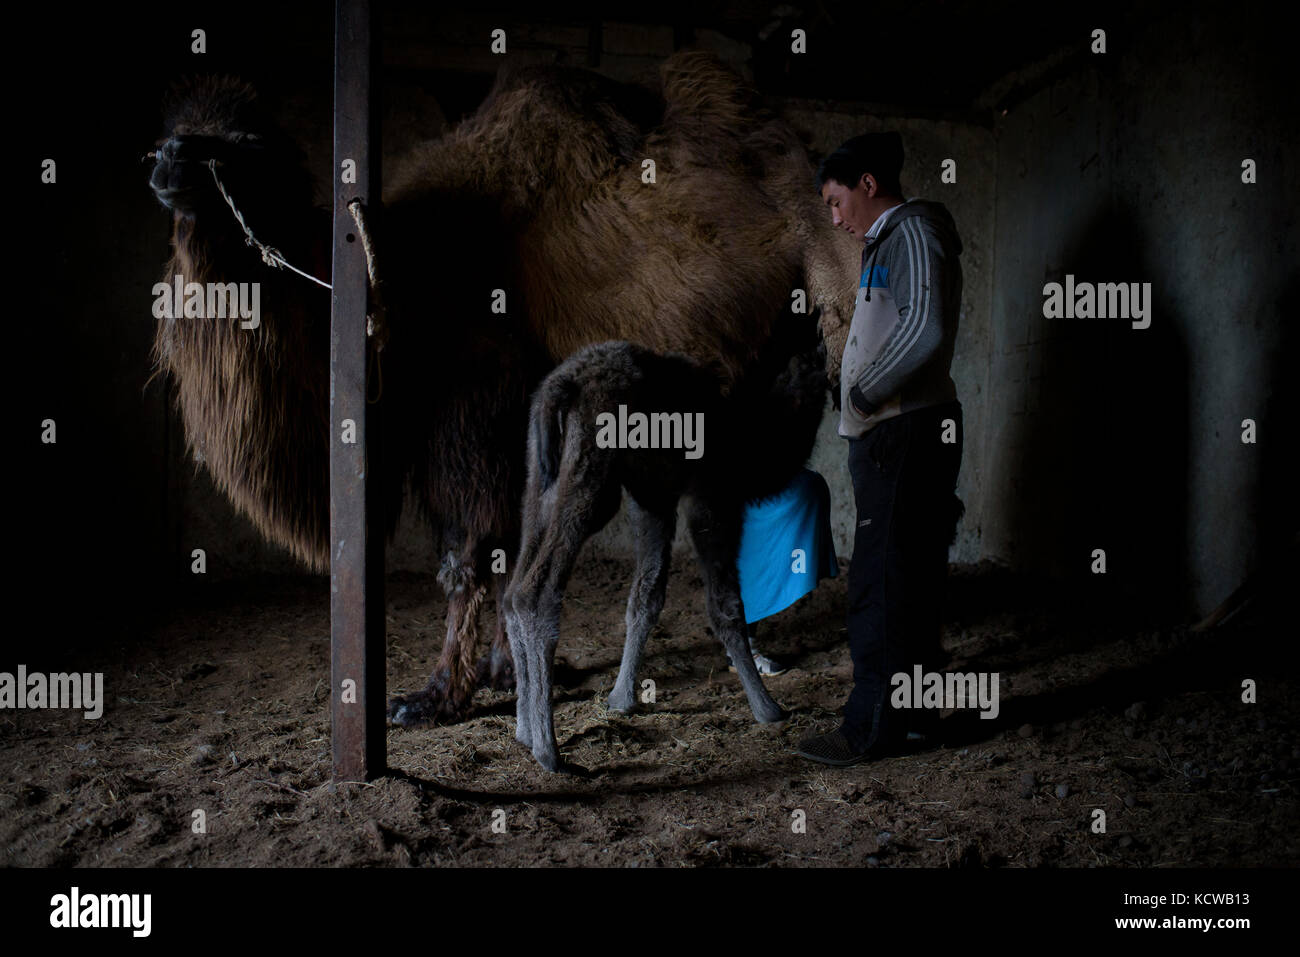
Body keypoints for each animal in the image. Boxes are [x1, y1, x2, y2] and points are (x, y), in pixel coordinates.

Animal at [504, 328, 821, 769]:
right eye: (812, 358)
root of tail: (559, 388)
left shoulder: (653, 498)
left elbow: (646, 596)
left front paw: (621, 699)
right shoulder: (713, 496)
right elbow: (725, 605)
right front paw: (767, 708)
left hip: (540, 482)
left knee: (512, 591)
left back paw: (523, 730)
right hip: (591, 477)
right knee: (537, 592)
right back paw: (548, 750)